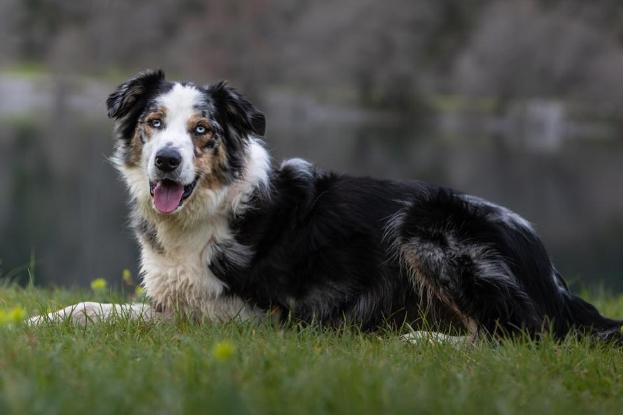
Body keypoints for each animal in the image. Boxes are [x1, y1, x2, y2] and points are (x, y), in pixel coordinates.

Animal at [30, 70, 622, 343]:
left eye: (202, 131)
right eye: (154, 122)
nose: (167, 161)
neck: (208, 211)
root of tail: (555, 277)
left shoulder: (257, 316)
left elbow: (170, 324)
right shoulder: (172, 297)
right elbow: (91, 308)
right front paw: (38, 320)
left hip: (427, 223)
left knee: (513, 333)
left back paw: (419, 338)